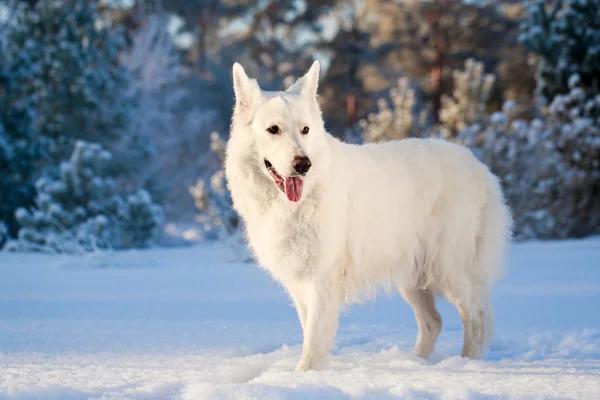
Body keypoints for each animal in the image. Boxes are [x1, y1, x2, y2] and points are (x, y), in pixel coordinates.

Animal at [224, 60, 510, 372]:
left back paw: (467, 364)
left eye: (305, 130)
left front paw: (303, 377)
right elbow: (310, 332)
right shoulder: (300, 285)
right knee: (434, 322)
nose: (303, 164)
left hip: (450, 270)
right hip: (414, 277)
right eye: (273, 129)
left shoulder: (323, 279)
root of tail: (481, 167)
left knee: (478, 318)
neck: (296, 203)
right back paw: (414, 364)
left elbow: (313, 342)